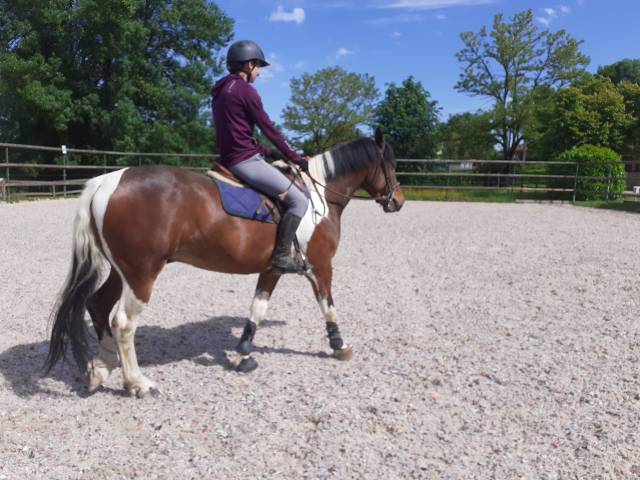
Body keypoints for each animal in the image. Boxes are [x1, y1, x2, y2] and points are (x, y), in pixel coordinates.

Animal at [46, 129, 405, 397]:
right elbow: (328, 306)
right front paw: (339, 345)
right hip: (141, 273)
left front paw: (243, 353)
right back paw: (138, 383)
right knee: (122, 322)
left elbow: (258, 308)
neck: (319, 197)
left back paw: (101, 368)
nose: (398, 202)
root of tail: (107, 182)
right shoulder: (320, 265)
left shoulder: (272, 268)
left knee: (97, 305)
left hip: (123, 271)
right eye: (390, 164)